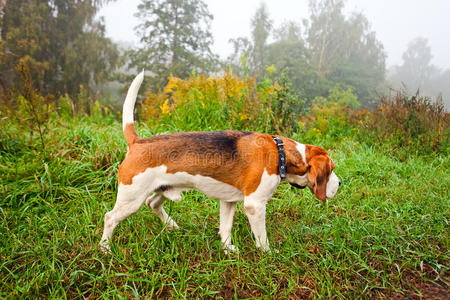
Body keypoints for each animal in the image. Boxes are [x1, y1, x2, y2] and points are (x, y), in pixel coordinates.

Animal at [99, 72, 342, 253]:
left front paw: (227, 250)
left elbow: (225, 228)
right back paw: (105, 249)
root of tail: (137, 142)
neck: (280, 153)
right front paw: (268, 255)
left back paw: (171, 225)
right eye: (331, 169)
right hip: (132, 198)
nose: (340, 184)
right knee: (110, 217)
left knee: (153, 203)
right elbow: (262, 238)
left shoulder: (228, 201)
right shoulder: (255, 205)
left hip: (165, 188)